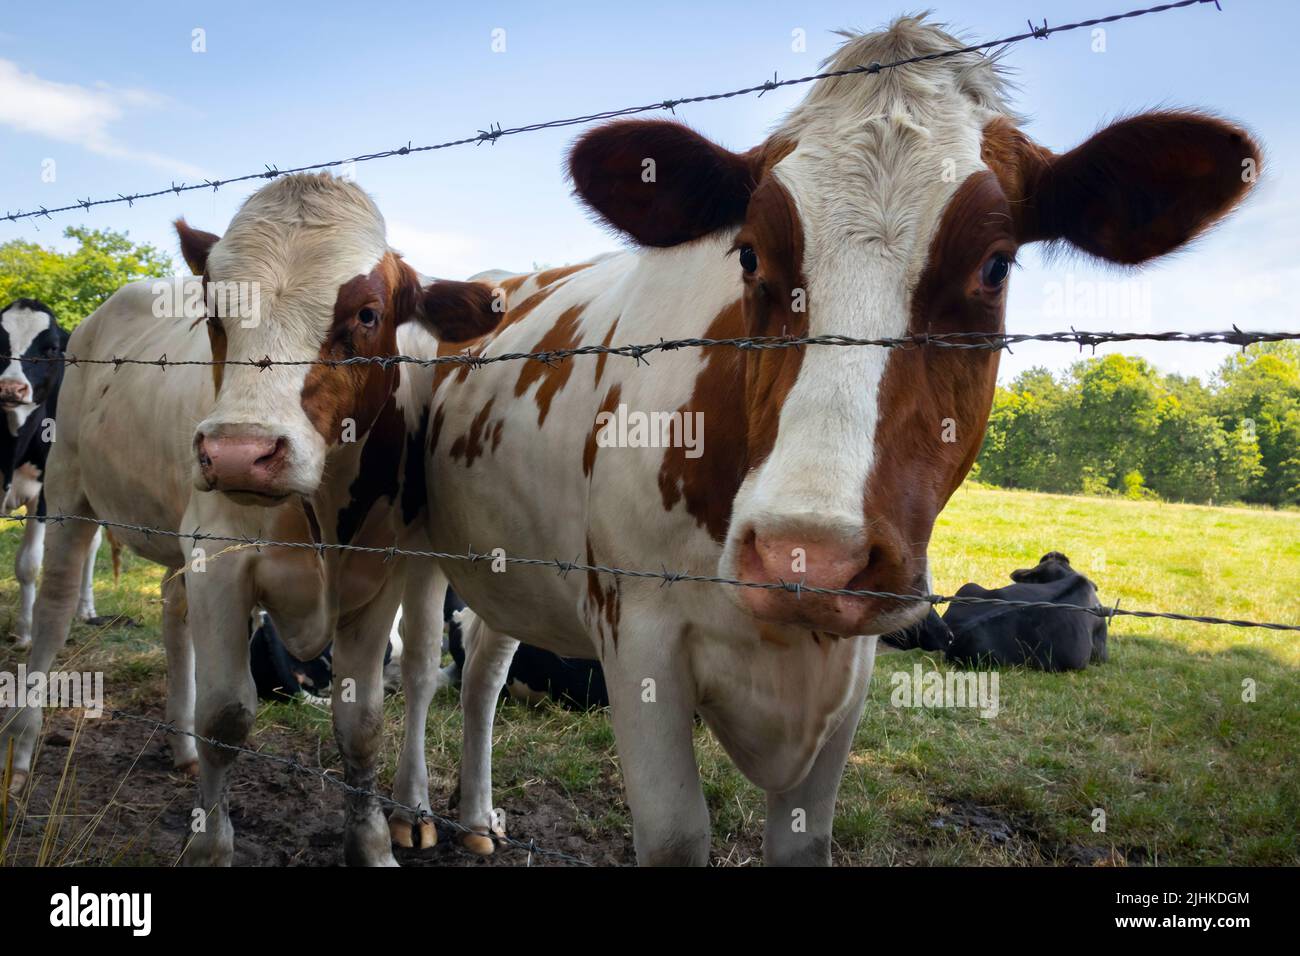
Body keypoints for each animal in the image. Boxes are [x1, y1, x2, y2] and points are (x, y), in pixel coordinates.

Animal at [1, 297, 101, 642]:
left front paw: (25, 632)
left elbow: (29, 565)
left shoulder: (45, 494)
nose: (11, 388)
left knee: (90, 547)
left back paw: (86, 609)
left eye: (51, 348)